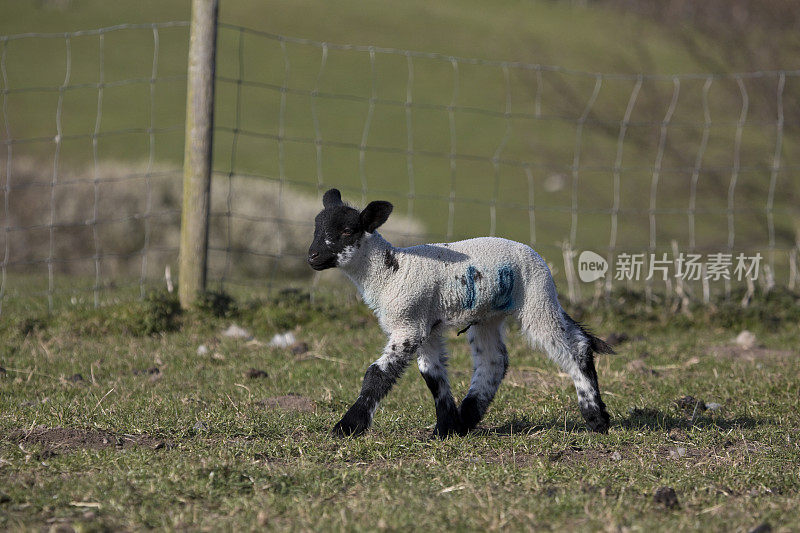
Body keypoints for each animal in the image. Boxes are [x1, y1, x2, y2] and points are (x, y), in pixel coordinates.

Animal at [306, 189, 612, 438]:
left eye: (348, 230)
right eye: (316, 226)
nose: (312, 256)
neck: (390, 271)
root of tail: (533, 253)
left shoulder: (408, 324)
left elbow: (377, 374)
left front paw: (347, 426)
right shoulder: (424, 325)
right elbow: (432, 376)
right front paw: (444, 429)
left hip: (537, 298)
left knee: (572, 347)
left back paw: (596, 418)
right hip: (489, 314)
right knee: (494, 361)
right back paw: (467, 419)